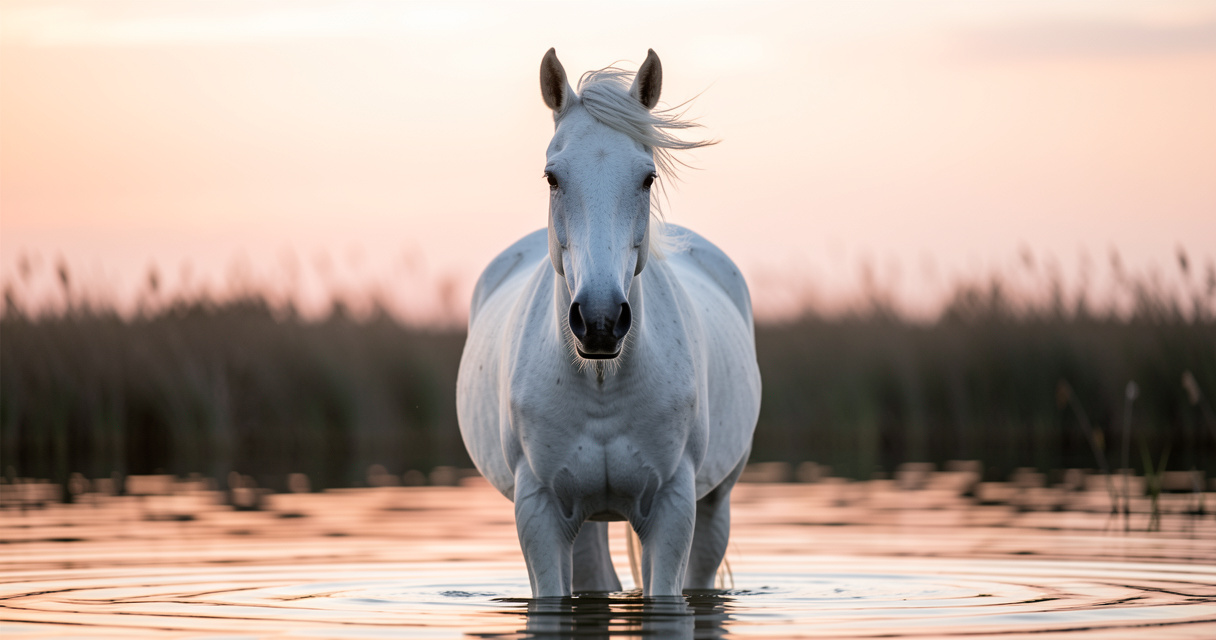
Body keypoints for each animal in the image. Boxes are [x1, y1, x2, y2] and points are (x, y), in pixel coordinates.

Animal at [456, 48, 761, 597]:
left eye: (647, 178)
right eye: (552, 177)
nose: (600, 320)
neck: (602, 384)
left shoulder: (674, 506)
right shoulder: (538, 510)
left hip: (715, 503)